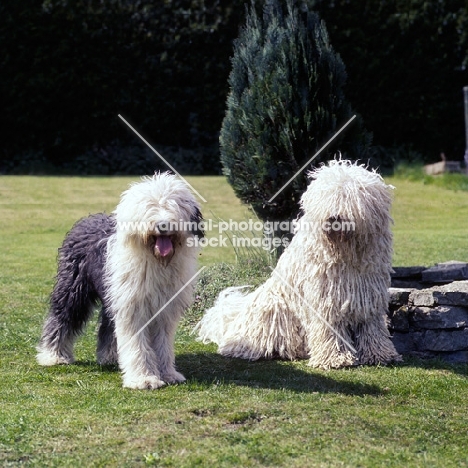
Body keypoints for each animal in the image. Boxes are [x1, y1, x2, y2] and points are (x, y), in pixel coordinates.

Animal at [35, 172, 204, 388]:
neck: (156, 260)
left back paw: (109, 357)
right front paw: (143, 379)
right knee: (62, 317)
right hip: (74, 288)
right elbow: (137, 345)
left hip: (112, 293)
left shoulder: (163, 309)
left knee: (108, 324)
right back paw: (53, 355)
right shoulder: (133, 306)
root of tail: (87, 219)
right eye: (149, 205)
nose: (163, 225)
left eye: (174, 205)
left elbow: (163, 344)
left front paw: (168, 374)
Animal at [197, 160, 402, 370]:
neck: (345, 254)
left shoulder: (369, 294)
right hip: (274, 308)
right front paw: (335, 358)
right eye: (327, 198)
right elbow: (329, 329)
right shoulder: (325, 299)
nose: (333, 217)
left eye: (350, 197)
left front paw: (379, 355)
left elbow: (372, 326)